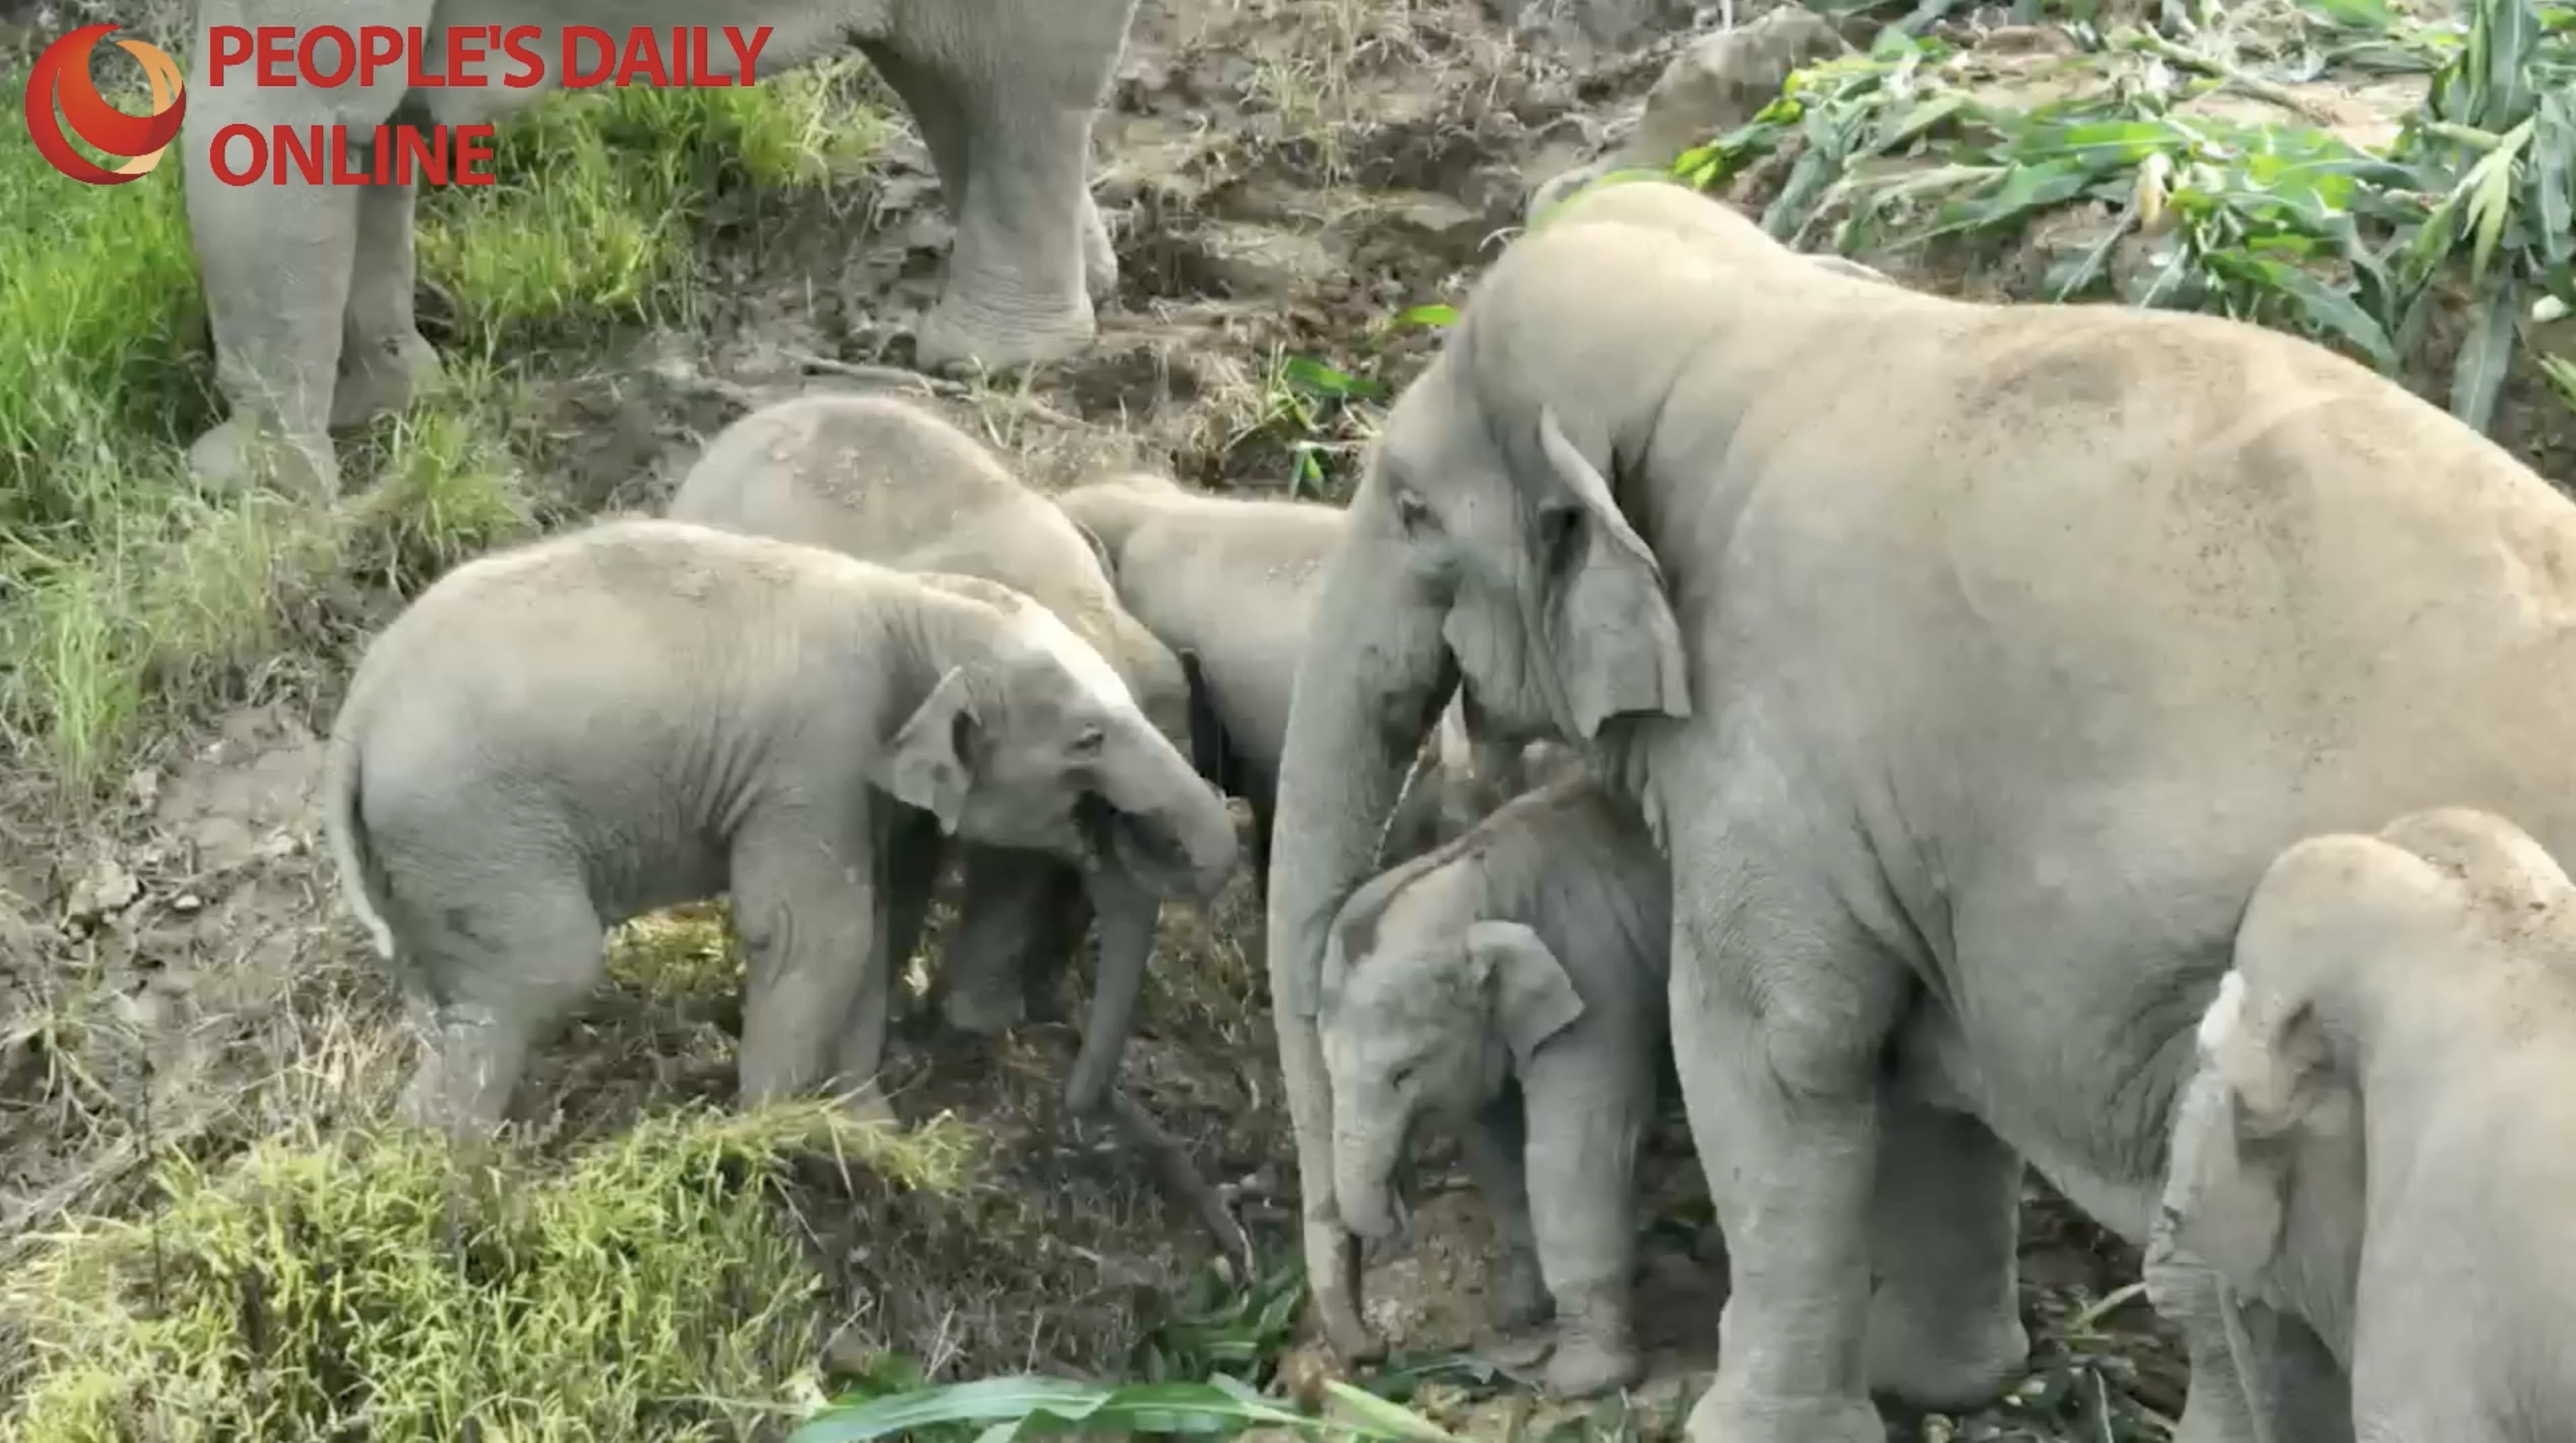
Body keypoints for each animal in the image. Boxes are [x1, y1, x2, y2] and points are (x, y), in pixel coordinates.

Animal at [180, 0, 1139, 501]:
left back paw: (983, 357)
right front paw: (385, 407)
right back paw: (1090, 284)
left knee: (1023, 87)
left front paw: (237, 487)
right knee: (951, 77)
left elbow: (277, 109)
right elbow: (370, 126)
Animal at [320, 516, 1236, 1137]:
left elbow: (875, 931)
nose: (1076, 1117)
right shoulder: (813, 756)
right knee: (545, 970)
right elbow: (814, 933)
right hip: (476, 826)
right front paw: (767, 1139)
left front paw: (869, 1135)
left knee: (448, 989)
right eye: (1089, 739)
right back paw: (456, 1176)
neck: (914, 604)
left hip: (429, 856)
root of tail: (354, 717)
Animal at [664, 393, 1201, 1118]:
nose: (1073, 1110)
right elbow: (918, 862)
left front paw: (970, 1020)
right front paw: (929, 1025)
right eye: (1089, 764)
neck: (1072, 598)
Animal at [1319, 774, 1671, 1399]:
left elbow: (1577, 1150)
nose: (1374, 1354)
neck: (1478, 871)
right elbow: (1494, 1142)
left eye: (1404, 1073)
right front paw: (1517, 1315)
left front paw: (1585, 1383)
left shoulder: (1597, 985)